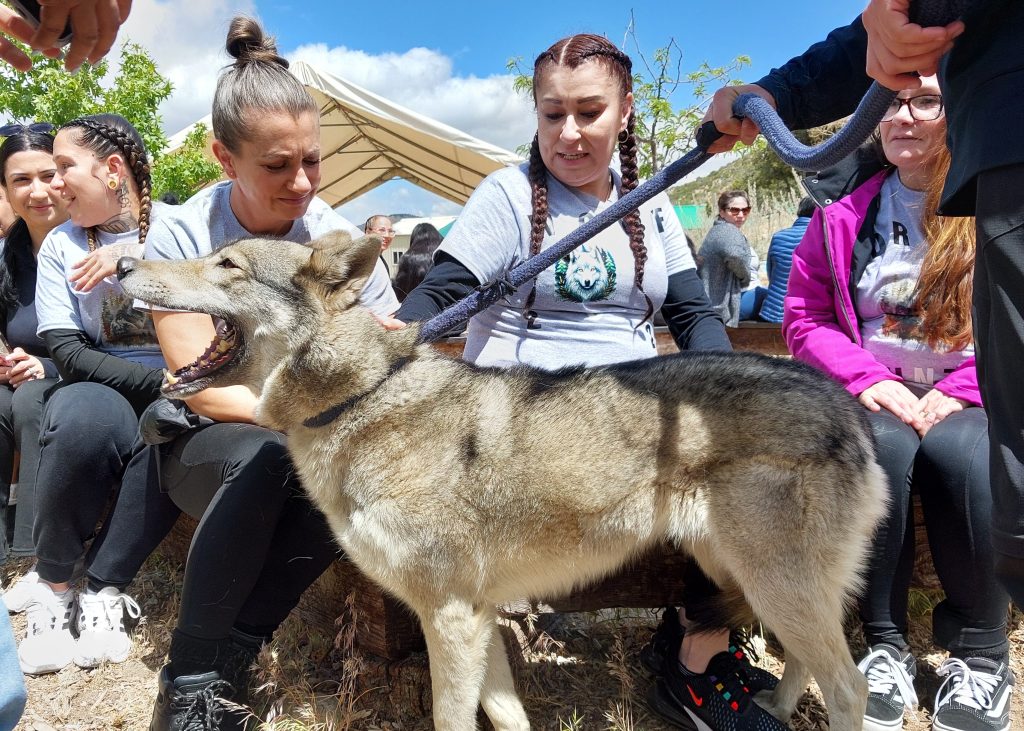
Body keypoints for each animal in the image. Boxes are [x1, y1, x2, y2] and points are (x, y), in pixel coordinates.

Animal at [118, 231, 887, 731]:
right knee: (804, 667)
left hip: (771, 584)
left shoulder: (451, 617)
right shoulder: (476, 617)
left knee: (847, 686)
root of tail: (850, 406)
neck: (362, 397)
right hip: (751, 579)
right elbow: (507, 716)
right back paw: (773, 710)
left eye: (226, 264)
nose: (123, 261)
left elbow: (450, 719)